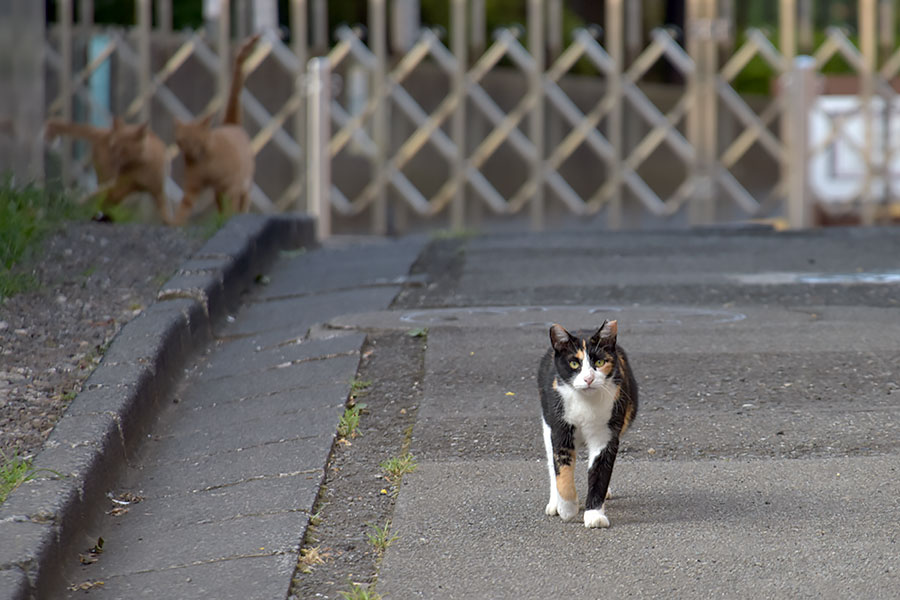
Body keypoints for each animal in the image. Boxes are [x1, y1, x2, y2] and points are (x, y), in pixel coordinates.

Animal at [44, 117, 172, 223]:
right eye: (113, 146)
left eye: (124, 150)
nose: (114, 159)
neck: (140, 165)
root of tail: (104, 131)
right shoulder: (116, 185)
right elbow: (91, 196)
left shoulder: (157, 191)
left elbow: (166, 215)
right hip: (108, 179)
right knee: (99, 198)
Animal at [171, 32, 260, 225]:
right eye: (181, 141)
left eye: (196, 140)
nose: (189, 151)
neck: (206, 161)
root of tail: (230, 124)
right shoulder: (192, 188)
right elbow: (182, 210)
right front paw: (174, 224)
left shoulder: (232, 186)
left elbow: (232, 208)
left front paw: (230, 220)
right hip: (219, 192)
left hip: (244, 186)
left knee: (242, 204)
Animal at [536, 322, 636, 528]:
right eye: (574, 364)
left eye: (600, 362)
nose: (589, 378)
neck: (586, 404)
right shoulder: (560, 430)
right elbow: (562, 471)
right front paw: (567, 509)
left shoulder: (606, 436)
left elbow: (599, 473)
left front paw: (594, 515)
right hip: (547, 423)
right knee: (551, 464)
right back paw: (555, 504)